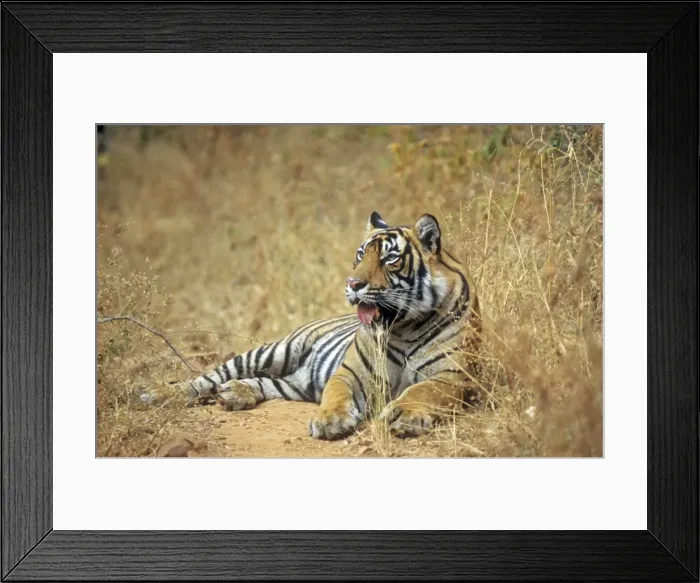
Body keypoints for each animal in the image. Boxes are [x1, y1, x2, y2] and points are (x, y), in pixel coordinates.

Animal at [150, 211, 482, 440]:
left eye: (390, 258)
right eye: (360, 255)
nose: (352, 283)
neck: (403, 328)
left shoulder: (451, 375)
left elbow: (423, 391)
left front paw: (406, 416)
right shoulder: (351, 373)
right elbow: (336, 394)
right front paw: (330, 421)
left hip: (293, 383)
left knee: (264, 383)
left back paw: (234, 393)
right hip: (273, 351)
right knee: (205, 378)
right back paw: (158, 395)